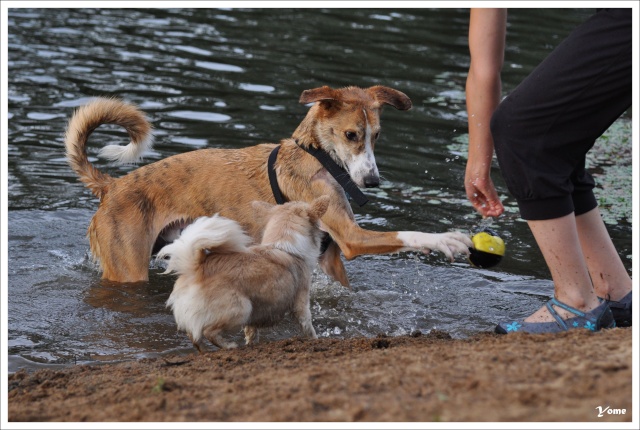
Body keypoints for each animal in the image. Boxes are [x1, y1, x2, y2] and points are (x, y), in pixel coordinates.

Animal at [65, 85, 472, 286]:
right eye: (351, 135)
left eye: (377, 136)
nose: (371, 181)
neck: (316, 155)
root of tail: (112, 186)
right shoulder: (352, 238)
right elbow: (408, 233)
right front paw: (447, 240)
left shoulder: (332, 256)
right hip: (128, 270)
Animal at [158, 197, 330, 352]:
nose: (327, 236)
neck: (284, 246)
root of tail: (196, 267)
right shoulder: (301, 303)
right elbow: (308, 327)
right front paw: (316, 340)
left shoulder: (254, 319)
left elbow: (251, 333)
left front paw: (251, 345)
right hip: (242, 309)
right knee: (208, 331)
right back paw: (229, 346)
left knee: (194, 336)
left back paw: (205, 351)